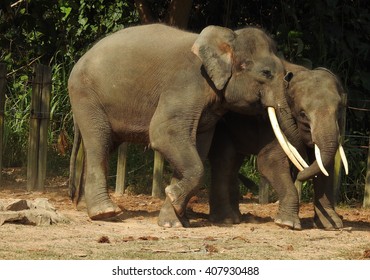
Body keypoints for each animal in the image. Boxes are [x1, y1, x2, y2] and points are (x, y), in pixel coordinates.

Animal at [68, 24, 308, 229]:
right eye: (267, 73)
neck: (227, 38)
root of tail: (81, 58)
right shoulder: (185, 84)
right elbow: (164, 133)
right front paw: (174, 196)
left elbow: (198, 145)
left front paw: (173, 220)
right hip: (86, 96)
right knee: (99, 143)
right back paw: (105, 212)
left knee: (105, 145)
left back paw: (85, 207)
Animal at [210, 61, 348, 230]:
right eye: (302, 114)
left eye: (339, 110)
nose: (301, 172)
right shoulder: (272, 120)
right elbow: (269, 161)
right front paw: (287, 224)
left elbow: (325, 167)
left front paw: (332, 225)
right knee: (225, 160)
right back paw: (227, 220)